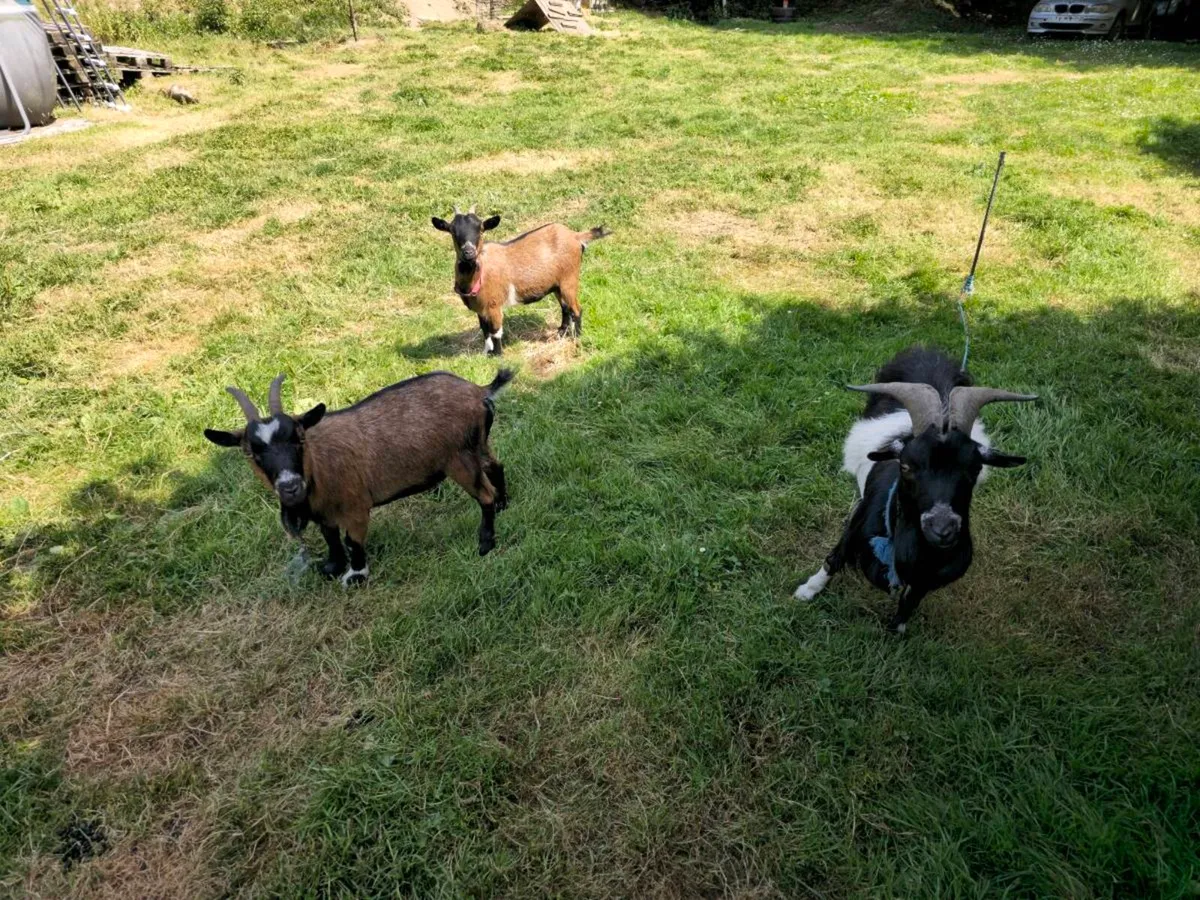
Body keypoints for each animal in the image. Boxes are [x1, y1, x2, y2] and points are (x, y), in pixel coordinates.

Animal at [204, 369, 513, 586]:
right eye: (251, 452)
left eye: (299, 439)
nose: (290, 487)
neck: (317, 467)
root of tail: (478, 390)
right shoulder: (324, 512)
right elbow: (330, 537)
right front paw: (331, 567)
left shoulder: (355, 506)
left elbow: (352, 540)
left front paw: (356, 576)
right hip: (478, 445)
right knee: (496, 466)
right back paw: (503, 504)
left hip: (459, 458)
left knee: (483, 494)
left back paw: (485, 543)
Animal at [432, 206, 610, 355]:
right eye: (452, 231)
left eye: (481, 229)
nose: (468, 252)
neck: (480, 273)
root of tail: (575, 236)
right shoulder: (480, 309)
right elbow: (484, 330)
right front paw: (486, 352)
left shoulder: (494, 306)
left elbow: (495, 331)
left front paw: (498, 355)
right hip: (557, 285)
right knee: (565, 307)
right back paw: (561, 333)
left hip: (569, 279)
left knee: (577, 309)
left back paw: (577, 337)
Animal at [793, 346, 1036, 633]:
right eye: (906, 466)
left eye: (975, 468)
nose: (942, 529)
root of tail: (927, 351)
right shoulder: (856, 524)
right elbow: (835, 557)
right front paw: (807, 591)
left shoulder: (926, 581)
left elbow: (909, 601)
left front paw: (896, 630)